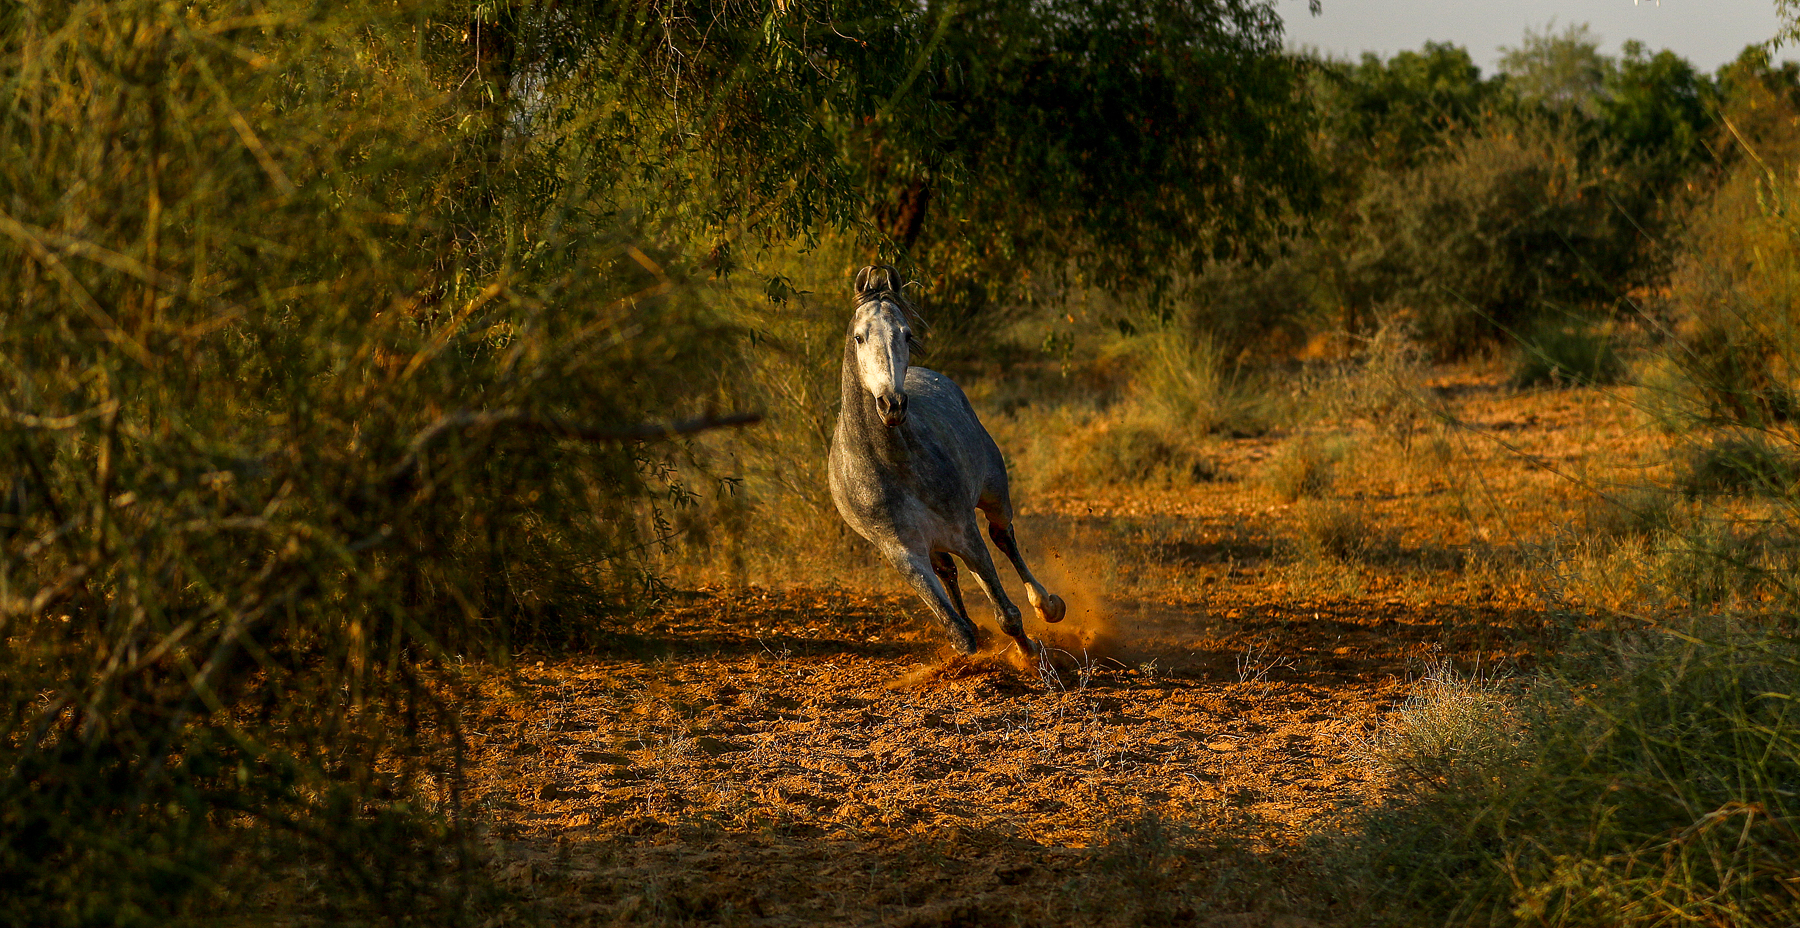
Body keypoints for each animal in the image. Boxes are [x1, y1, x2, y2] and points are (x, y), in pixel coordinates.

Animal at [827, 264, 1066, 658]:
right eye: (860, 337)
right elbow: (957, 631)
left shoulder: (964, 532)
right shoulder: (904, 555)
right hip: (935, 545)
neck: (890, 464)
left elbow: (1006, 612)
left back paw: (1047, 605)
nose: (892, 404)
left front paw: (1031, 655)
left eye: (907, 334)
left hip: (992, 496)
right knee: (949, 571)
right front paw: (977, 647)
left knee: (1003, 536)